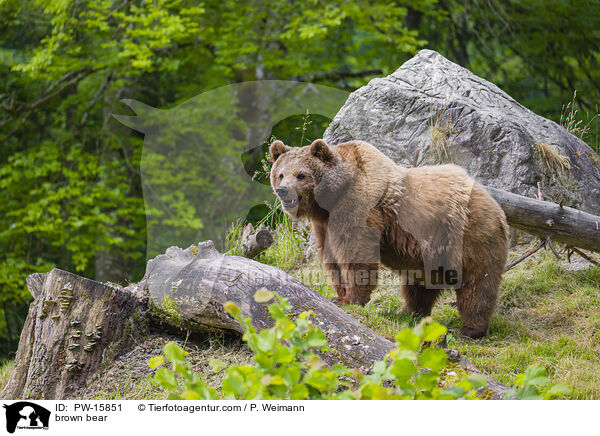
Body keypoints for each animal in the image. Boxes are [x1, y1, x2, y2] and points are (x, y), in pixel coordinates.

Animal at [270, 139, 508, 338]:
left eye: (301, 175)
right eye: (281, 174)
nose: (283, 190)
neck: (332, 198)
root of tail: (495, 205)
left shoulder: (357, 206)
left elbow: (356, 252)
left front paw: (352, 300)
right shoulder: (324, 225)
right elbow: (332, 258)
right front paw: (339, 295)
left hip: (468, 234)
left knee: (477, 283)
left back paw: (471, 329)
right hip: (429, 252)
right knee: (418, 286)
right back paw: (407, 312)